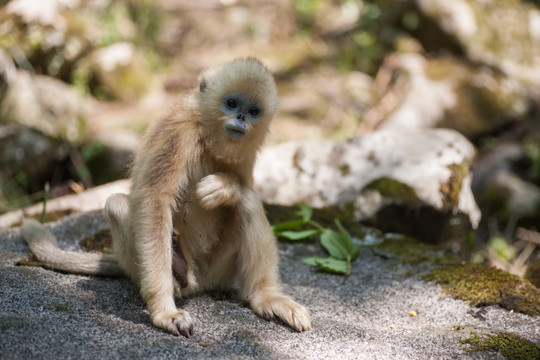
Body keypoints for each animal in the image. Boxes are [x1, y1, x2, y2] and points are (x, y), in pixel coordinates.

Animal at [21, 57, 310, 338]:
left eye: (253, 111)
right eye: (231, 103)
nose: (240, 117)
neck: (206, 134)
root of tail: (201, 281)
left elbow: (245, 187)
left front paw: (223, 187)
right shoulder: (177, 131)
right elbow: (153, 199)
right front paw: (164, 311)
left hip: (220, 271)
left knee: (248, 202)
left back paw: (266, 297)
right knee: (117, 204)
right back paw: (177, 271)